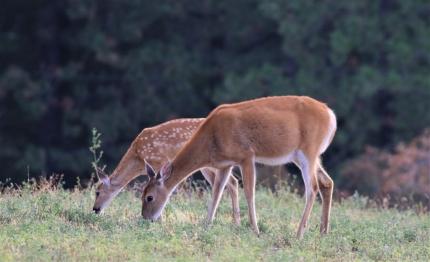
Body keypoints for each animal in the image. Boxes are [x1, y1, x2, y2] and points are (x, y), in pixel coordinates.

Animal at [92, 117, 240, 224]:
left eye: (97, 192)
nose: (95, 209)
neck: (137, 157)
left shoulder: (160, 162)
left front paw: (159, 221)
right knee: (226, 182)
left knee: (232, 181)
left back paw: (235, 222)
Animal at [141, 95, 336, 237]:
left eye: (149, 197)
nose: (145, 218)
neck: (212, 139)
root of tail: (330, 115)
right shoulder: (225, 165)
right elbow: (217, 193)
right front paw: (206, 226)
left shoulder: (246, 155)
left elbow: (249, 192)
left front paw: (255, 230)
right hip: (304, 156)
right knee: (327, 182)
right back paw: (323, 232)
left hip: (308, 151)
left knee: (312, 188)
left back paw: (299, 233)